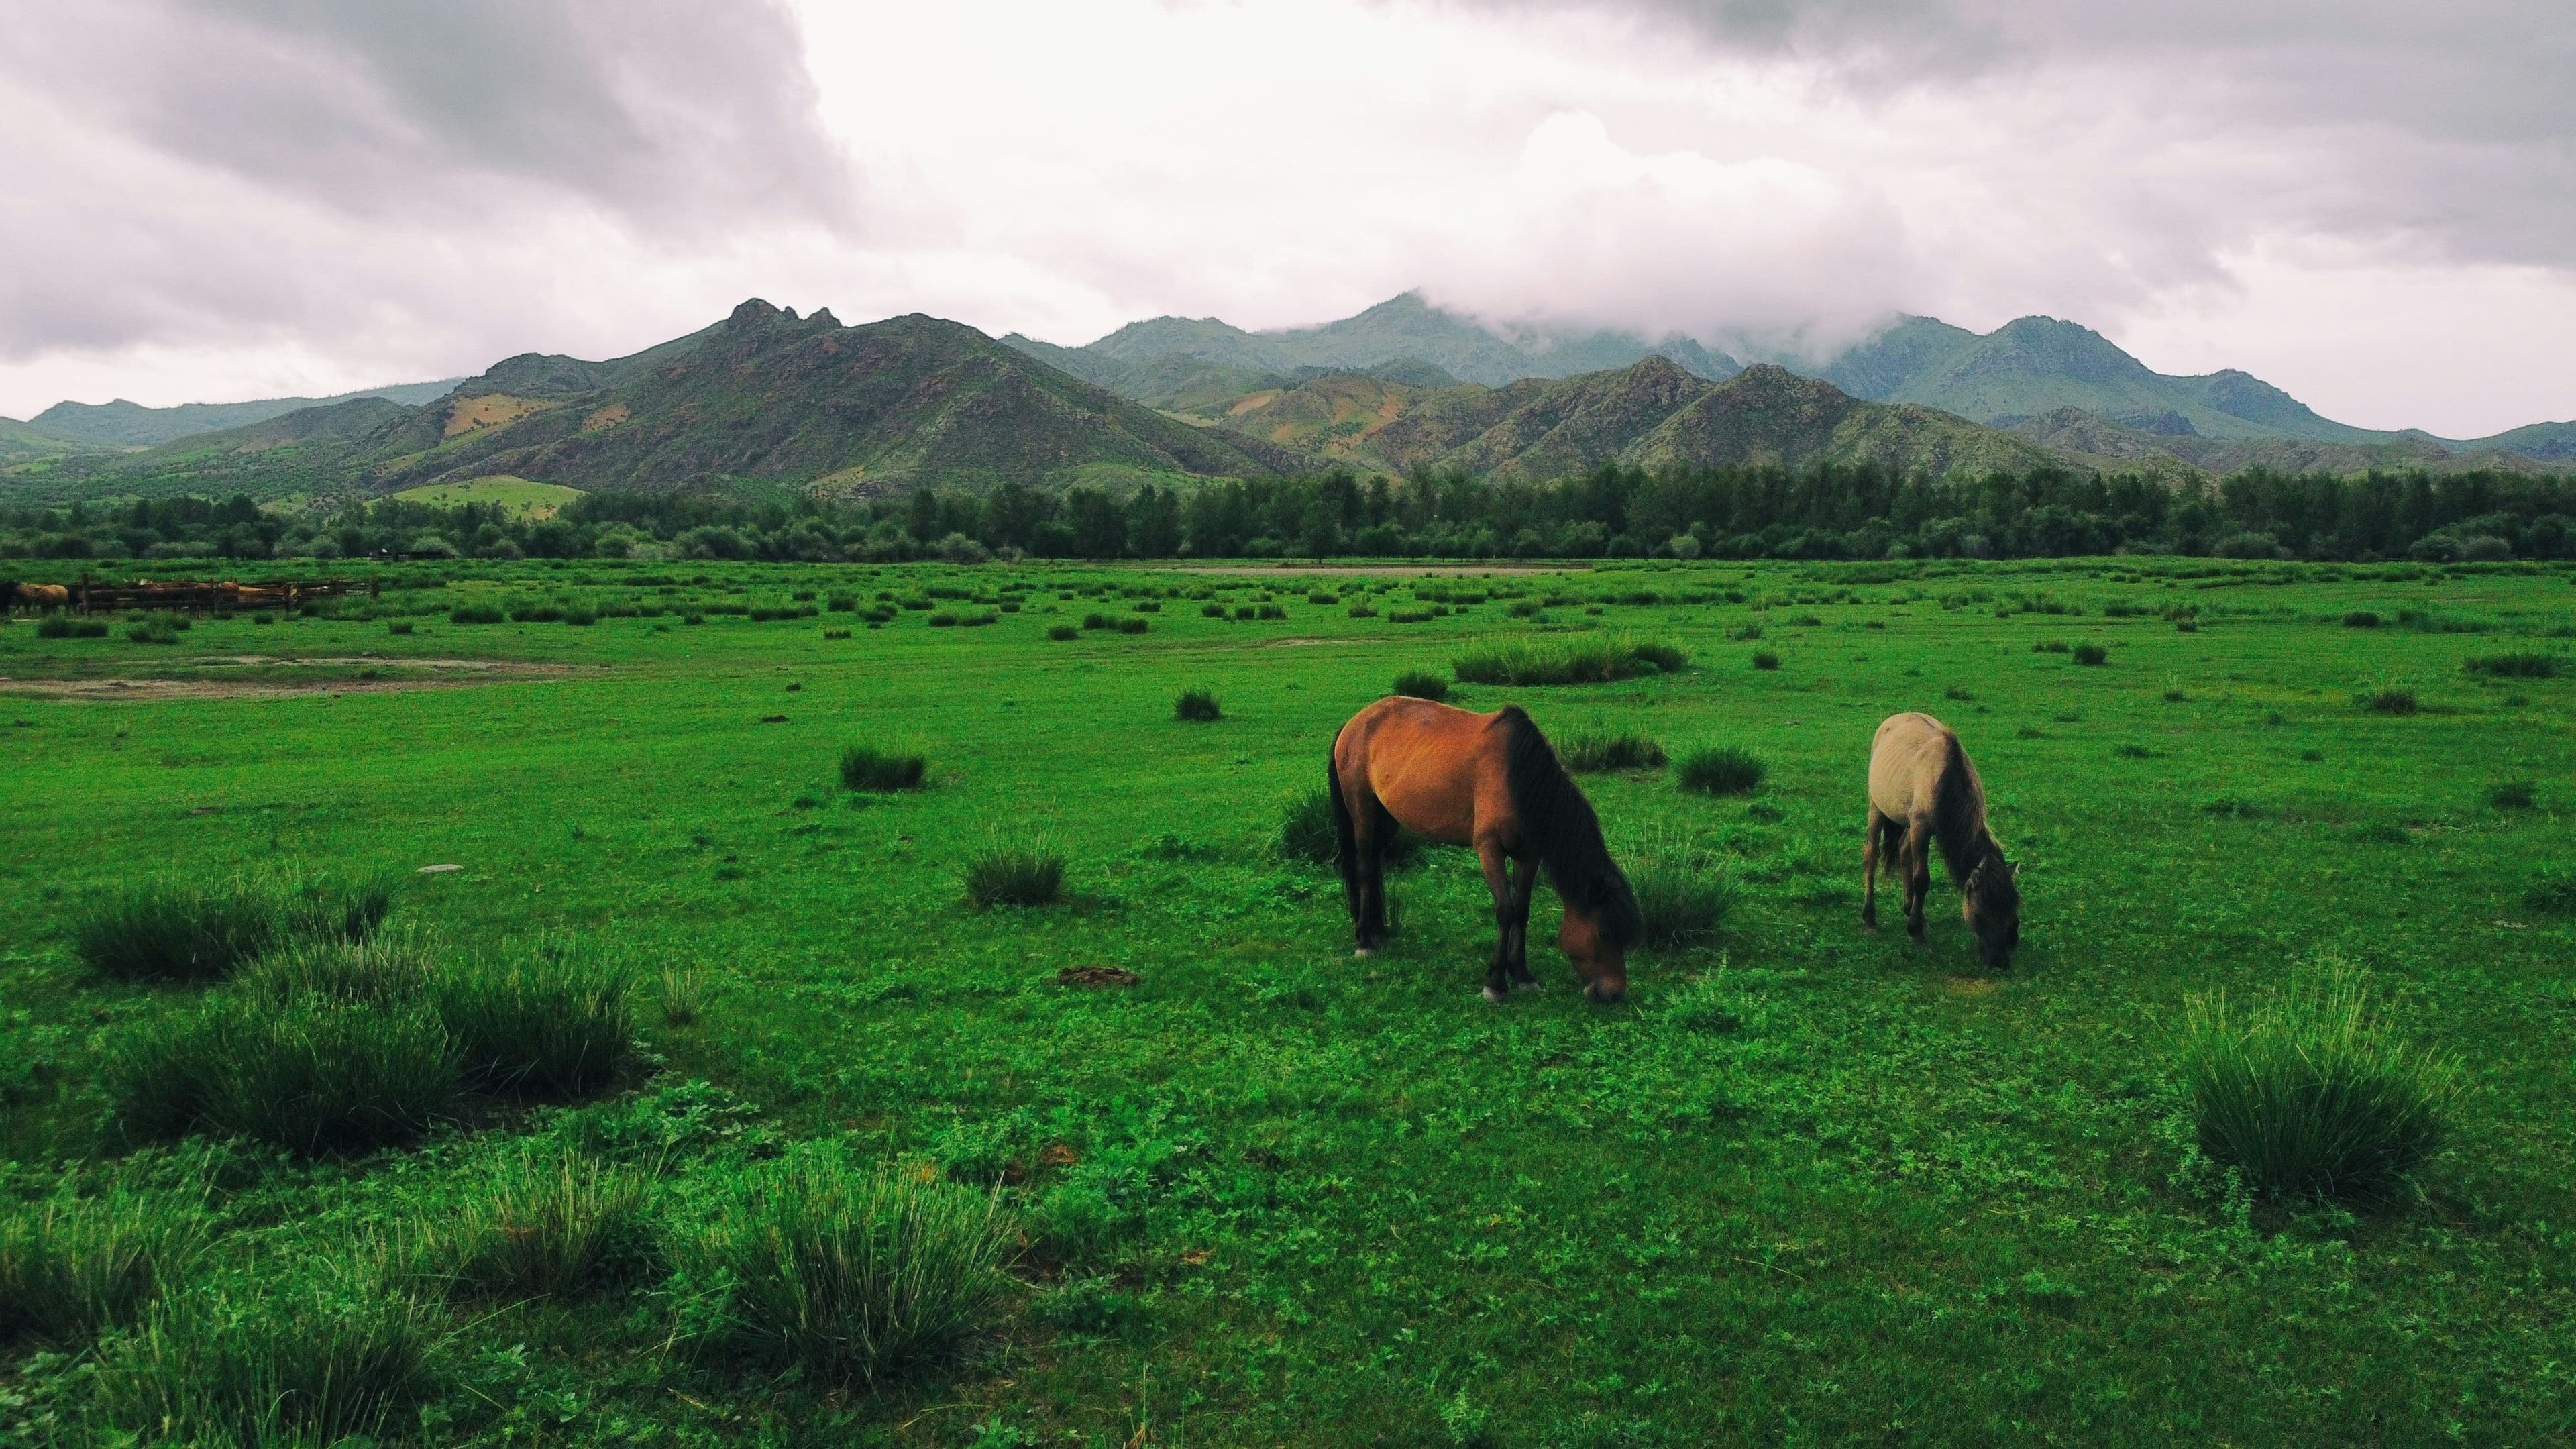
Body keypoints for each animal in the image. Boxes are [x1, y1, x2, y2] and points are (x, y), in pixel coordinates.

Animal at [1339, 696, 1638, 1000]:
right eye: (1604, 933)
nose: (1614, 993)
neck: (1517, 776)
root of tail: (1358, 721)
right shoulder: (1490, 850)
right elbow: (1506, 911)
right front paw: (1495, 981)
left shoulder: (1528, 854)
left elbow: (1522, 910)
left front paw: (1522, 974)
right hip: (1362, 811)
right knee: (1365, 868)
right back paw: (1365, 940)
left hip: (1387, 818)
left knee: (1376, 864)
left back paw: (1378, 931)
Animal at [1865, 706, 2019, 964]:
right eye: (1979, 915)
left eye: (2013, 908)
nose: (2001, 962)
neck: (1946, 780)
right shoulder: (1921, 827)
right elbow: (1921, 880)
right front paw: (1916, 932)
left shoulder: (1917, 825)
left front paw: (1915, 919)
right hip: (1877, 806)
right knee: (1871, 856)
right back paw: (1869, 918)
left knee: (1904, 852)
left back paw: (1909, 908)